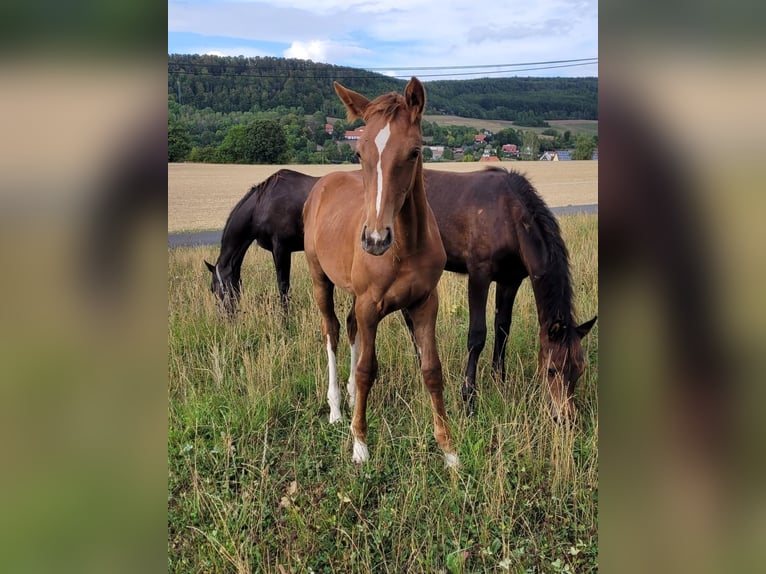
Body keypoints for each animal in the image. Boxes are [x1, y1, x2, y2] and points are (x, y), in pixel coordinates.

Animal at [204, 169, 318, 318]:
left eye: (214, 288)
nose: (223, 317)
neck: (261, 205)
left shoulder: (281, 248)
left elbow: (283, 285)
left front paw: (286, 319)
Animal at [302, 77, 460, 468]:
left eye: (415, 152)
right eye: (359, 153)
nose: (375, 239)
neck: (405, 246)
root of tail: (322, 185)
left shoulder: (424, 303)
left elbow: (431, 369)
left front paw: (449, 450)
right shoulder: (370, 304)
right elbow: (366, 370)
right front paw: (360, 445)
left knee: (349, 326)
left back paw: (348, 398)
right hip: (319, 278)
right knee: (332, 329)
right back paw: (336, 409)